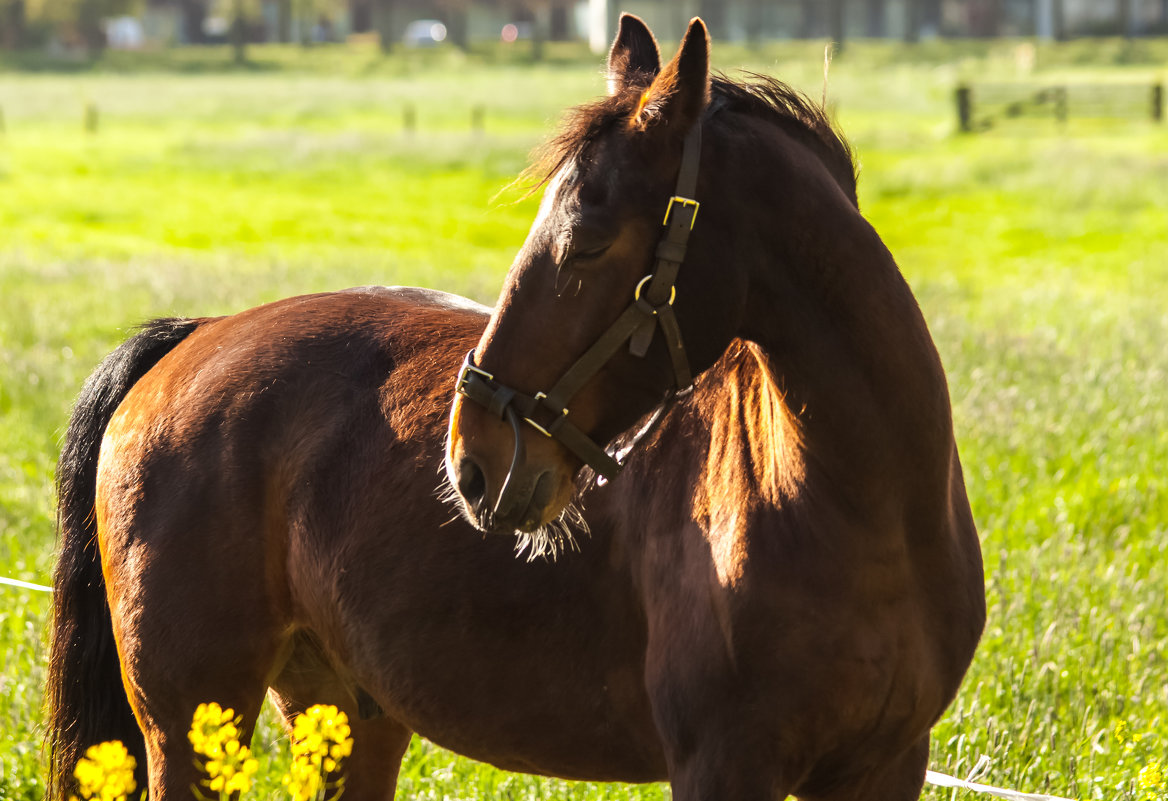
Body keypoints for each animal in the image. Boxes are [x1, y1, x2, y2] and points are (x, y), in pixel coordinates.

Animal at [43, 17, 985, 801]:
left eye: (586, 241)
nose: (473, 460)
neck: (855, 510)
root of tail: (194, 338)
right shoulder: (723, 764)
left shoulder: (886, 765)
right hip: (192, 725)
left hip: (348, 712)